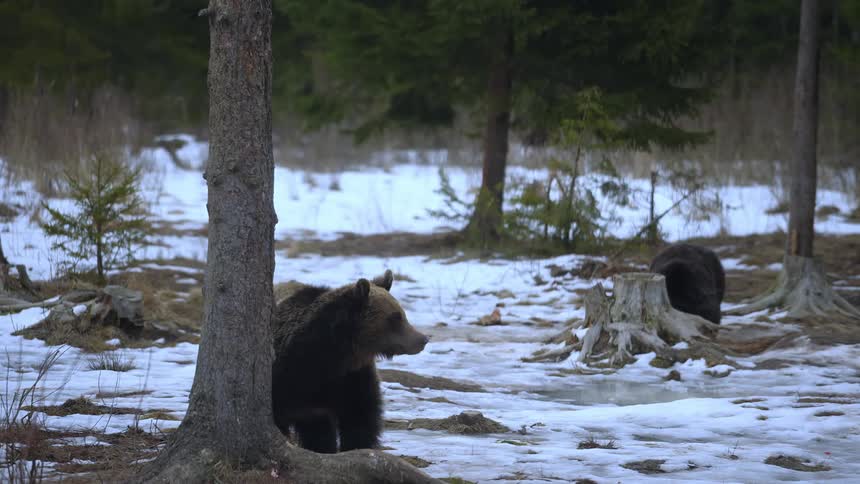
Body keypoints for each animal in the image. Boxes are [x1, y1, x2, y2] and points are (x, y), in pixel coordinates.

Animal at [271, 270, 428, 453]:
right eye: (395, 317)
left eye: (403, 314)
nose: (422, 339)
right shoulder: (287, 375)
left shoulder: (353, 377)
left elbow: (360, 418)